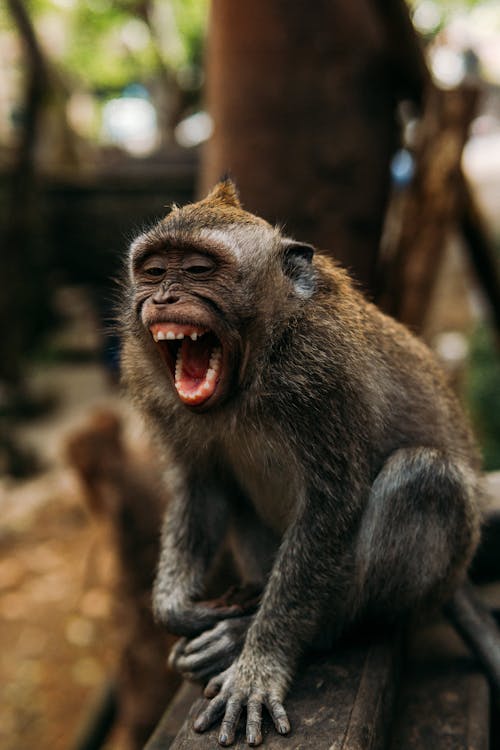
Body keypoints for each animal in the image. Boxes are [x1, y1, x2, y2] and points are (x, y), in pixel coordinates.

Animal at [120, 179, 484, 747]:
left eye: (199, 269)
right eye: (154, 270)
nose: (162, 298)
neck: (256, 366)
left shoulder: (322, 373)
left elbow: (331, 507)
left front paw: (259, 664)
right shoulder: (153, 385)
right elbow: (202, 487)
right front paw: (178, 609)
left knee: (422, 478)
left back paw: (275, 633)